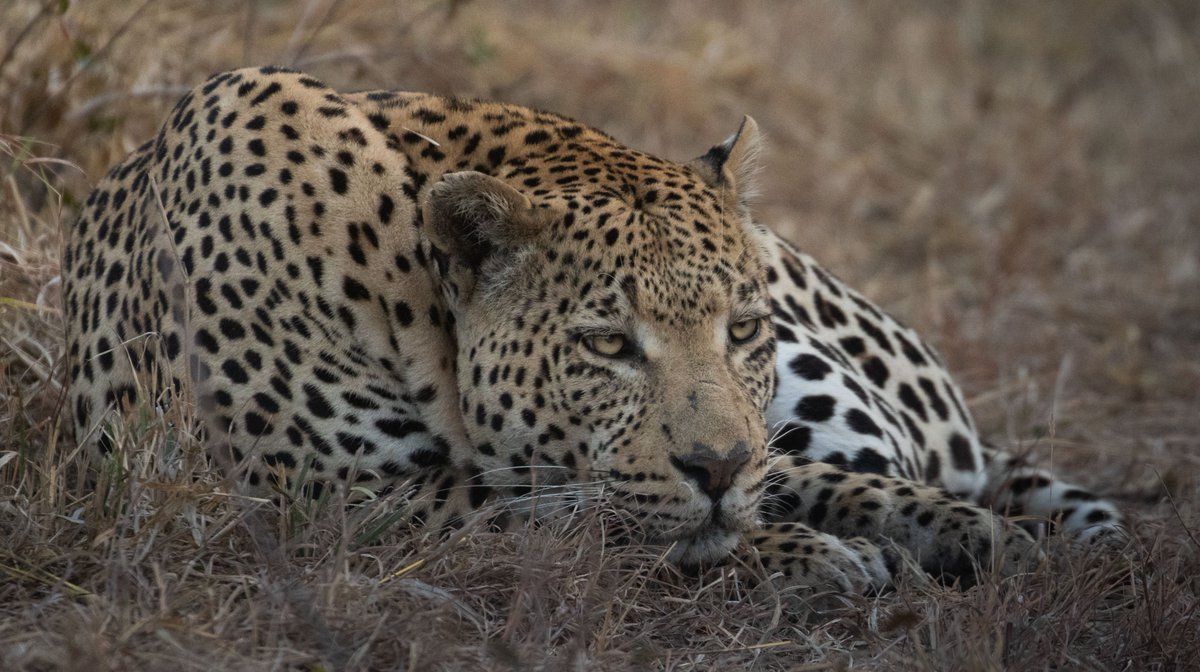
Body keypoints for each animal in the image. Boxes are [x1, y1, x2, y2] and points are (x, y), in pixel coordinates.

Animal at [62, 67, 1121, 595]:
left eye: (742, 329)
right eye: (607, 345)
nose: (716, 469)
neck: (399, 269)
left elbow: (786, 479)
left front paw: (938, 530)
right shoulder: (341, 499)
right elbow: (588, 517)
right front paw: (819, 553)